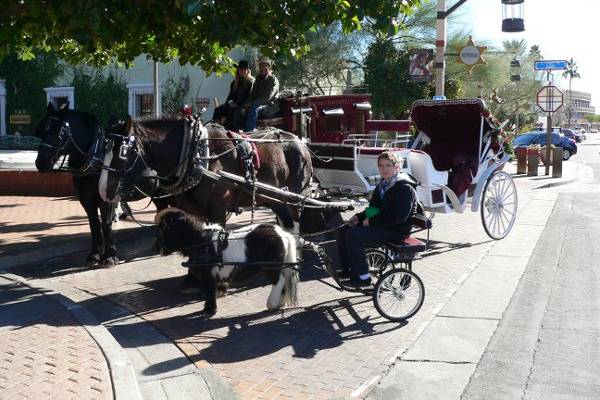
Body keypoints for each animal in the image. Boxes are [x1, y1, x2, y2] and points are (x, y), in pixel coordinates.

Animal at [34, 104, 162, 266]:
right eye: (42, 130)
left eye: (61, 132)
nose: (40, 162)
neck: (94, 159)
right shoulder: (86, 200)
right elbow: (94, 225)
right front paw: (94, 254)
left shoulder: (106, 199)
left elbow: (106, 225)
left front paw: (110, 256)